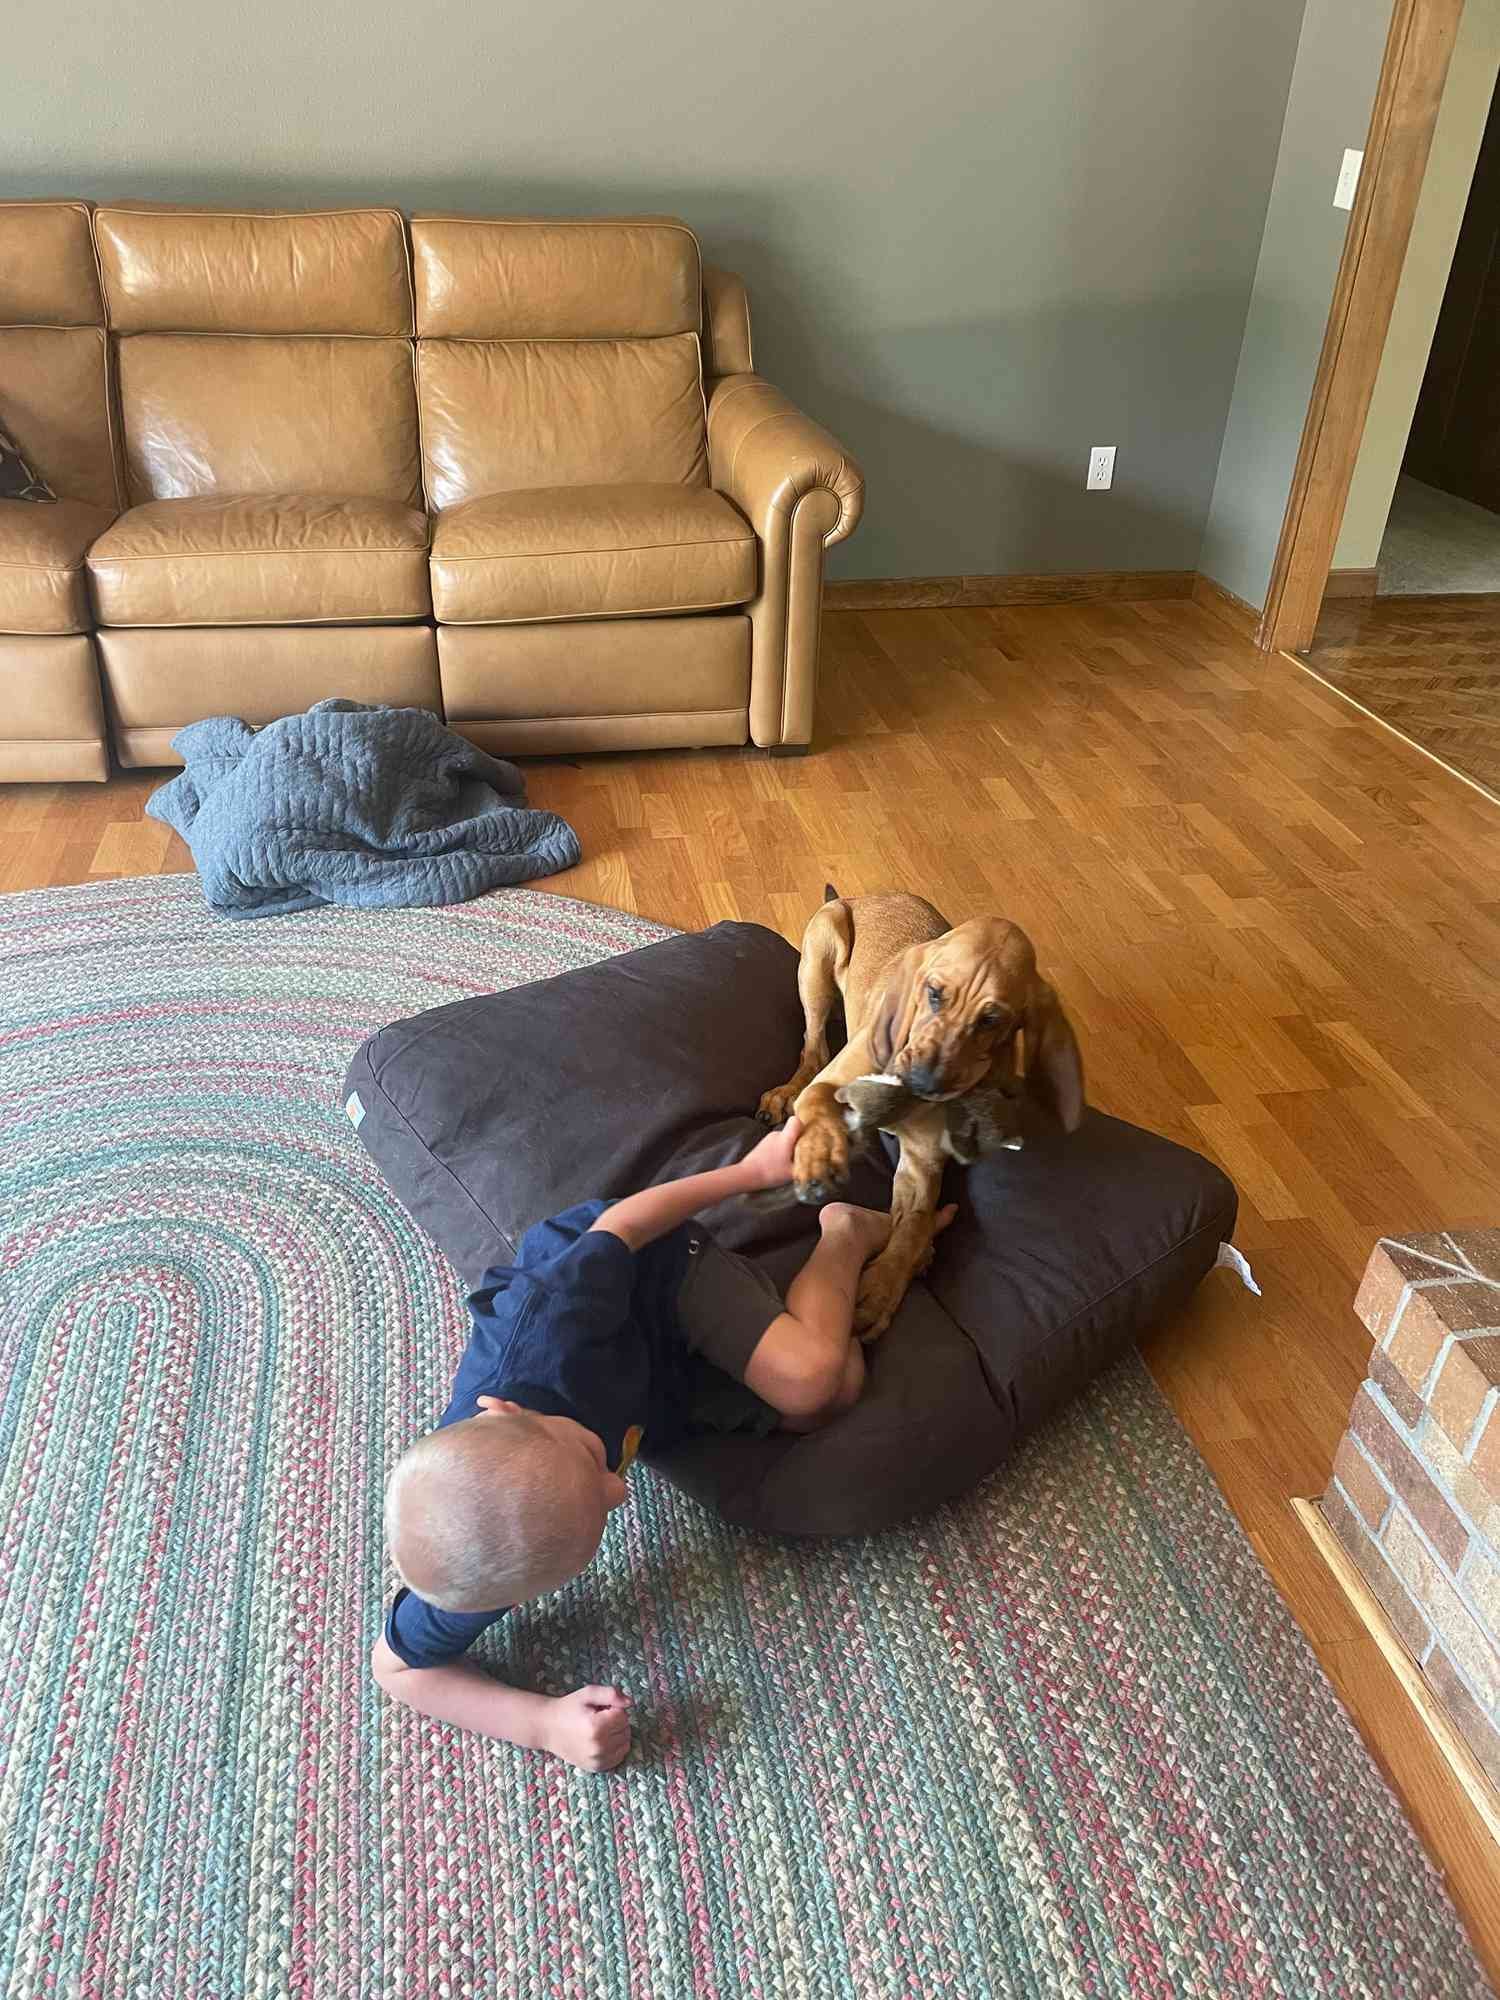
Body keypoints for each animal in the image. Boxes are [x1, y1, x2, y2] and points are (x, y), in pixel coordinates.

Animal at [756, 896, 1088, 1336]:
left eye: (990, 1020)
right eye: (933, 993)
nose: (921, 1083)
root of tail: (863, 896)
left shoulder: (922, 1161)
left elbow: (912, 1225)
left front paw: (882, 1289)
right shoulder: (827, 1087)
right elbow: (820, 1110)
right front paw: (817, 1155)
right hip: (820, 954)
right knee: (813, 1047)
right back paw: (785, 1093)